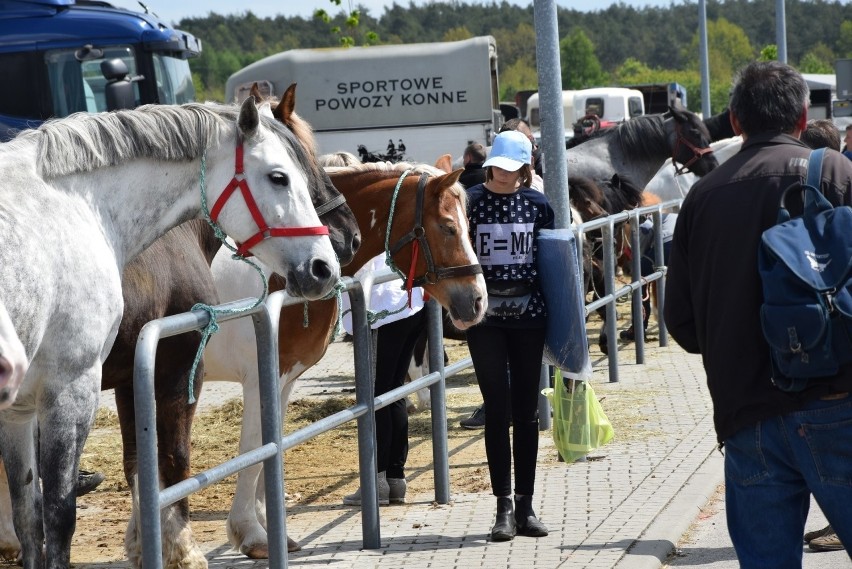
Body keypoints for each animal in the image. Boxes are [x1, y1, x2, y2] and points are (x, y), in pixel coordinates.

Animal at [0, 98, 340, 568]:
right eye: (280, 176)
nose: (325, 266)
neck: (74, 207)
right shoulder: (82, 388)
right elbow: (66, 512)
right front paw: (184, 548)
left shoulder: (28, 408)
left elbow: (35, 514)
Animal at [201, 156, 486, 560]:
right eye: (449, 227)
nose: (478, 300)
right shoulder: (260, 376)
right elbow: (255, 448)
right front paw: (252, 535)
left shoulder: (282, 378)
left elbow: (270, 447)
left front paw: (268, 530)